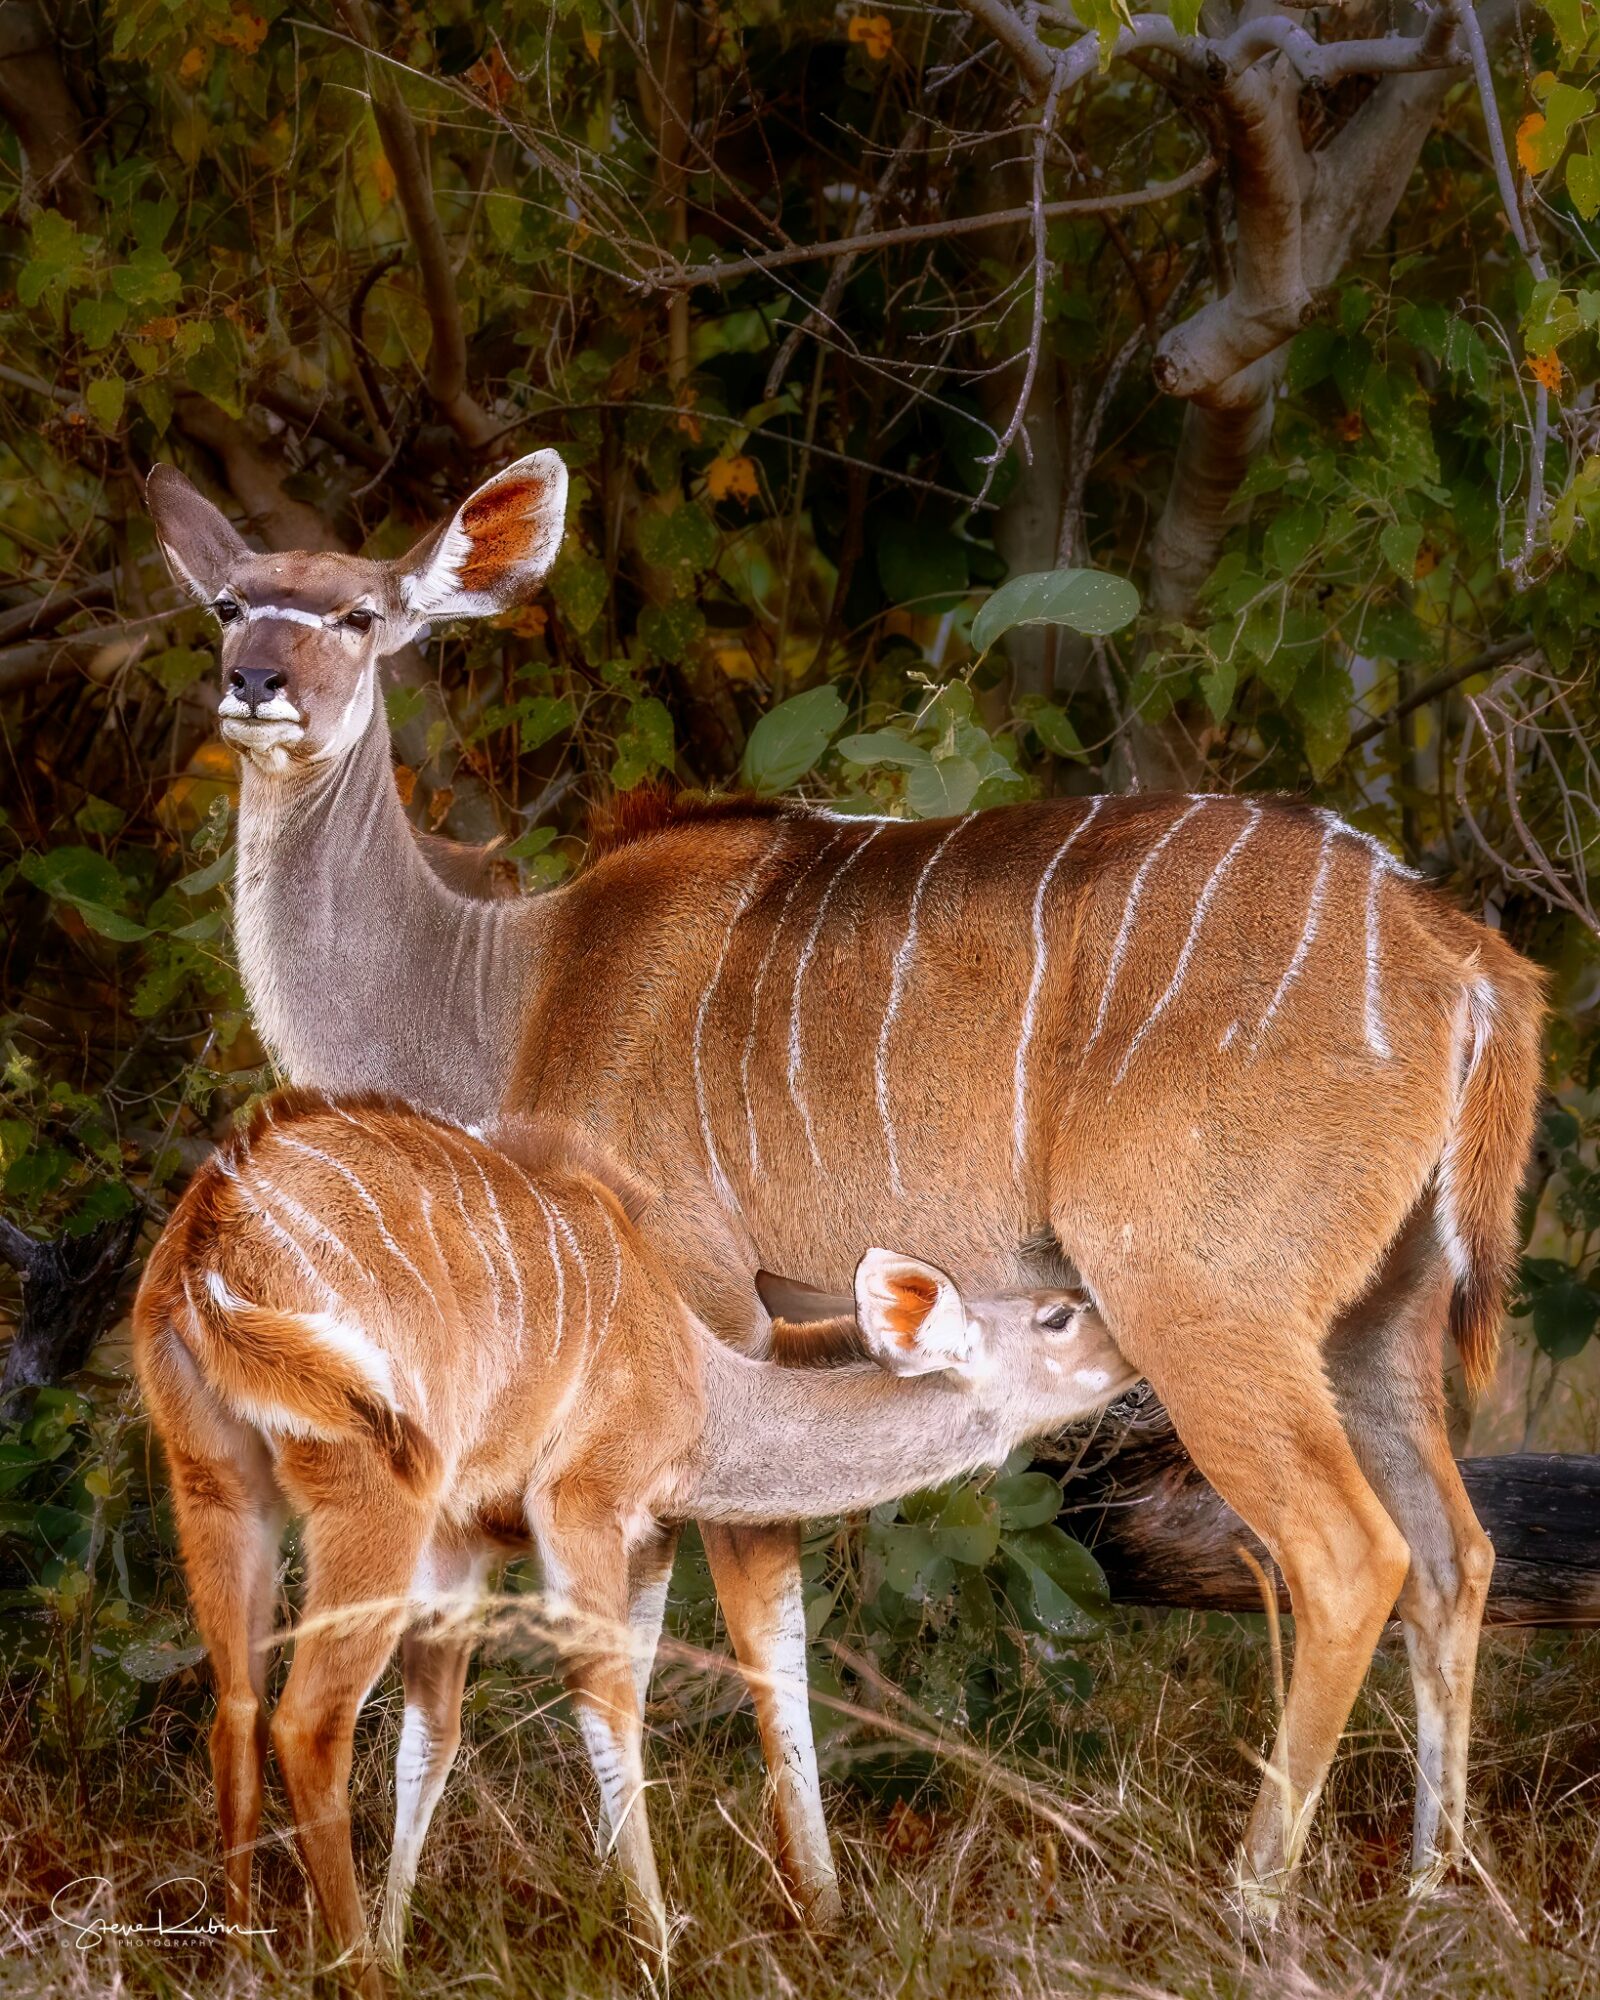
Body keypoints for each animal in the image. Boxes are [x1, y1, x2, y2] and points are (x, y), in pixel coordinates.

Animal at [132, 1088, 1137, 1992]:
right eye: (1058, 1314)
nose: (1137, 1351)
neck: (702, 1385)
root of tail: (209, 1243)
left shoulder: (484, 1541)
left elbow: (436, 1735)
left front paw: (398, 1940)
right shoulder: (580, 1499)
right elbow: (605, 1710)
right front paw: (657, 1951)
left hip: (216, 1482)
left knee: (235, 1705)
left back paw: (244, 1958)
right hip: (372, 1491)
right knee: (308, 1717)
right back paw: (354, 1975)